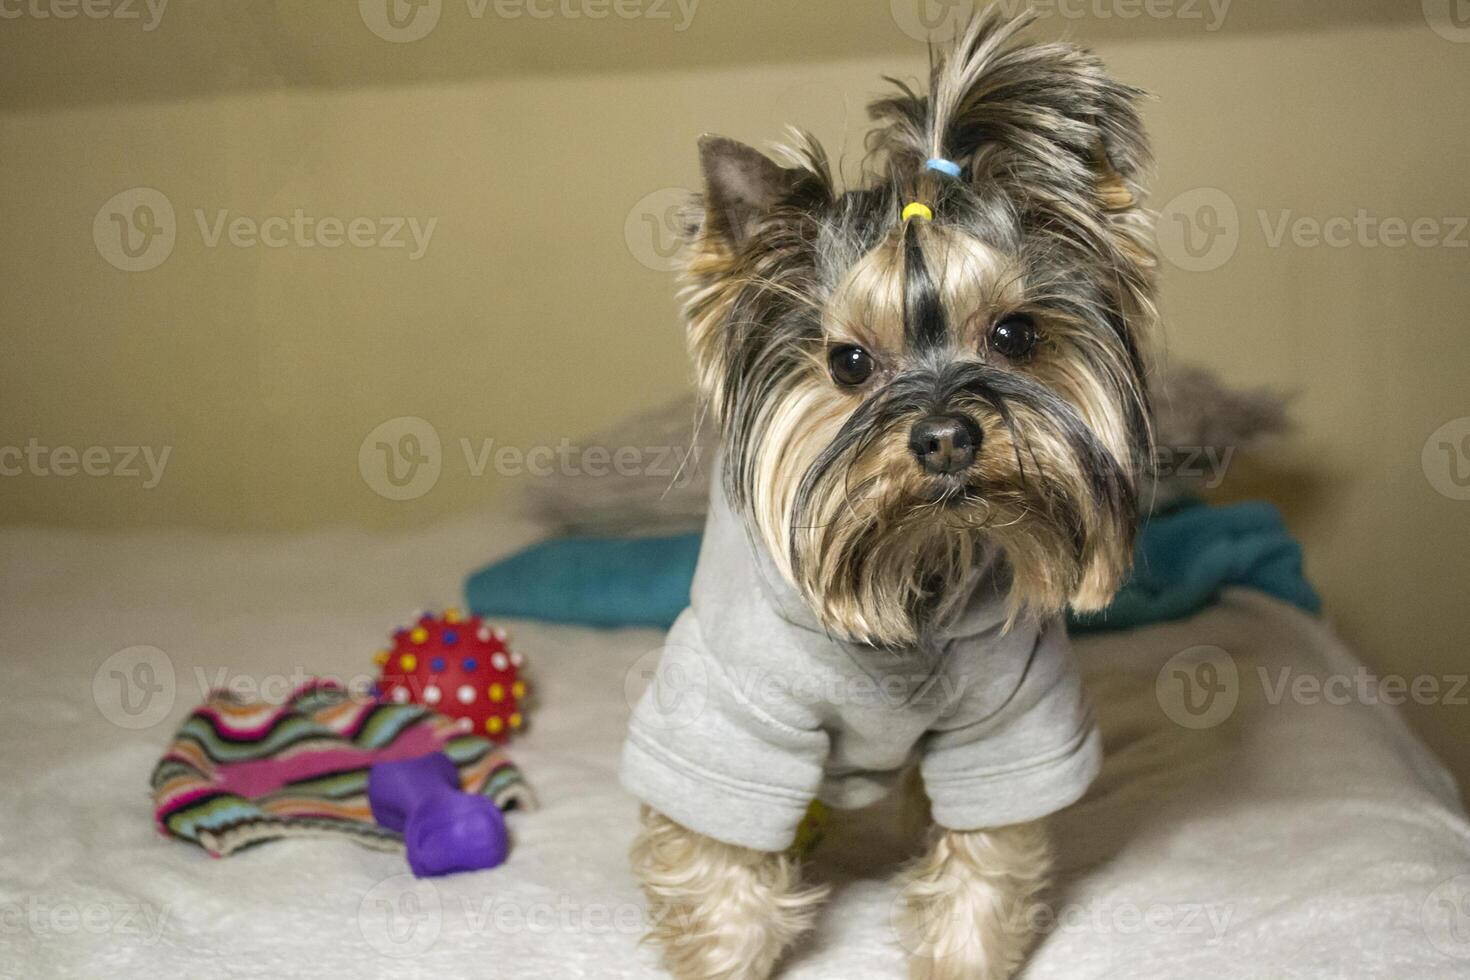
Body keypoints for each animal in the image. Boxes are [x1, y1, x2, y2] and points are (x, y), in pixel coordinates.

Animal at [620, 9, 1158, 980]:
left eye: (1014, 334)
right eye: (849, 362)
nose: (946, 435)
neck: (916, 561)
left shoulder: (1011, 720)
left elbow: (987, 858)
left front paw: (963, 954)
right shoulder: (728, 716)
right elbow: (720, 865)